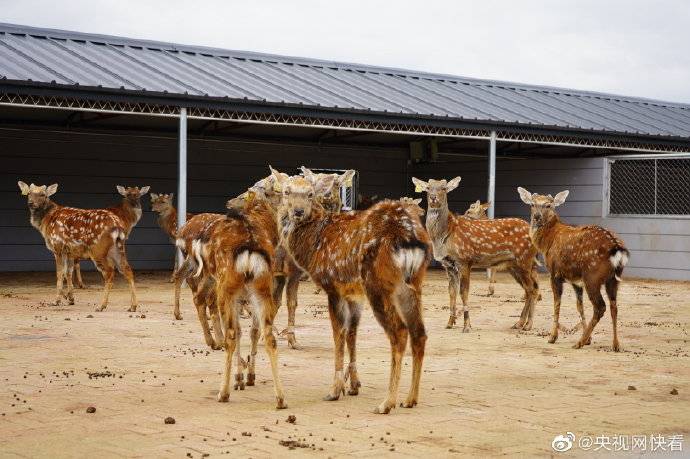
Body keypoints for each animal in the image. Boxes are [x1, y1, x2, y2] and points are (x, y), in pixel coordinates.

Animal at [17, 182, 138, 312]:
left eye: (42, 194)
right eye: (29, 193)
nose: (31, 203)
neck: (47, 220)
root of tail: (117, 226)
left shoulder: (57, 247)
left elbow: (59, 273)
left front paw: (57, 300)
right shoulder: (69, 252)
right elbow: (68, 272)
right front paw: (70, 298)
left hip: (98, 250)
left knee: (109, 272)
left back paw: (101, 306)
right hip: (118, 247)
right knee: (127, 270)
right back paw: (133, 306)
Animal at [187, 196, 286, 408]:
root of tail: (249, 250)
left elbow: (237, 332)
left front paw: (238, 378)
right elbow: (249, 331)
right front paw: (245, 377)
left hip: (226, 287)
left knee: (229, 334)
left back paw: (223, 392)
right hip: (262, 288)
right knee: (269, 336)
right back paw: (280, 398)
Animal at [272, 167, 428, 416]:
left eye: (310, 193)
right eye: (287, 191)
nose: (298, 211)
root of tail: (409, 238)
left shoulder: (332, 285)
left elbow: (339, 333)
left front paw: (335, 390)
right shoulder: (354, 293)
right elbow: (352, 333)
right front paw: (353, 385)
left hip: (378, 284)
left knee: (400, 332)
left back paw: (387, 403)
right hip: (413, 283)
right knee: (419, 332)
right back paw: (410, 399)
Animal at [408, 178, 536, 332]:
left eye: (444, 188)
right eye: (428, 187)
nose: (433, 197)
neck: (445, 235)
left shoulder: (465, 260)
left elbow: (464, 292)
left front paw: (467, 326)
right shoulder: (448, 265)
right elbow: (451, 293)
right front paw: (450, 323)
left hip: (525, 259)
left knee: (532, 289)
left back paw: (527, 324)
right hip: (514, 265)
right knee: (529, 289)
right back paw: (520, 323)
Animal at [516, 187, 624, 352]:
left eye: (549, 205)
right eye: (532, 204)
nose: (537, 217)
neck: (548, 241)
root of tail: (616, 247)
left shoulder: (554, 273)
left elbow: (557, 303)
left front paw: (552, 337)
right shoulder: (575, 280)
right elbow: (579, 306)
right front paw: (589, 339)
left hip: (592, 276)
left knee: (600, 307)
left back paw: (579, 342)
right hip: (613, 280)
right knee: (614, 306)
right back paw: (615, 344)